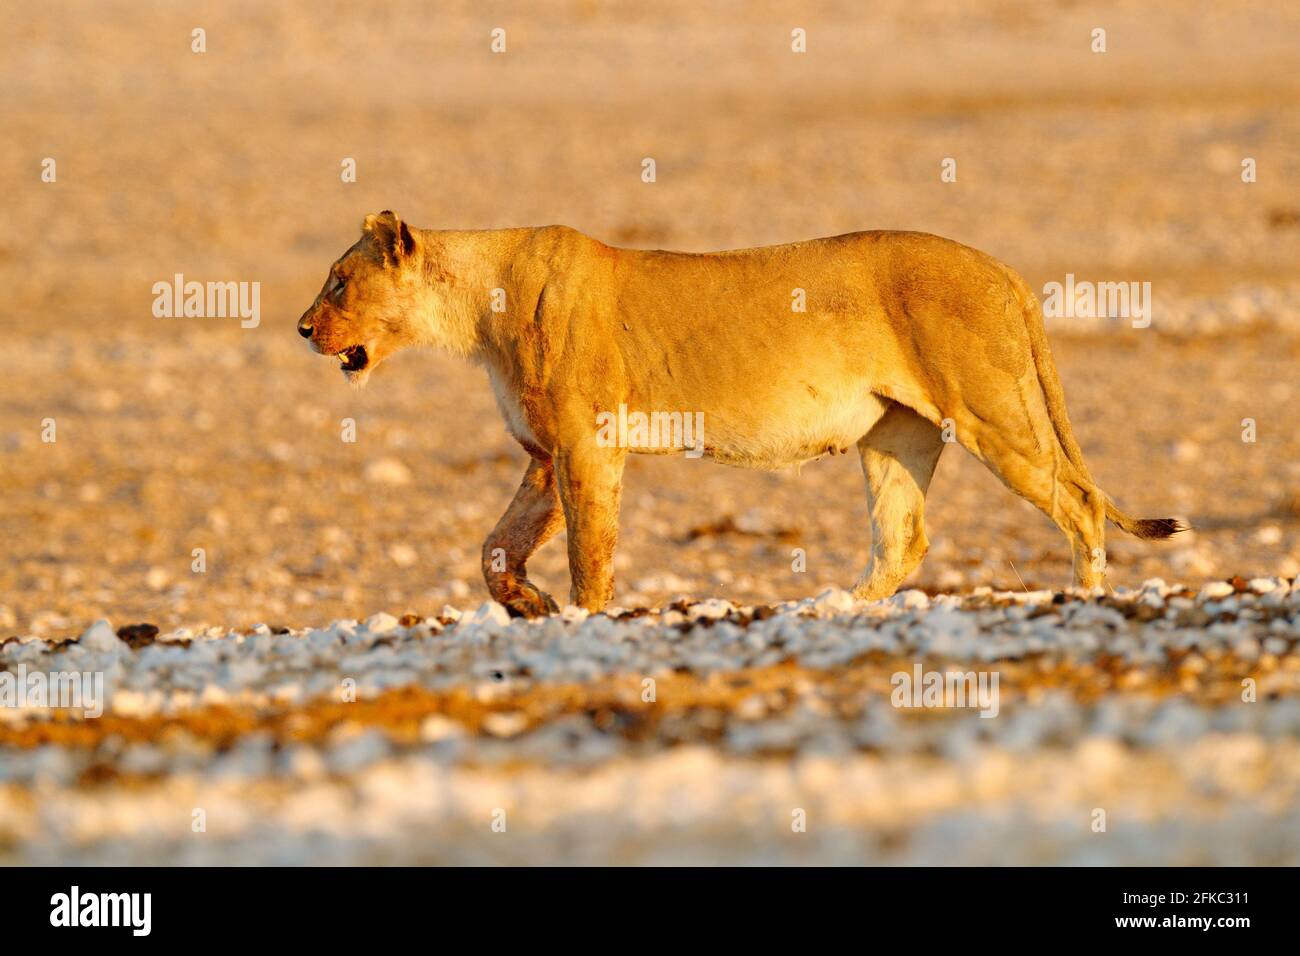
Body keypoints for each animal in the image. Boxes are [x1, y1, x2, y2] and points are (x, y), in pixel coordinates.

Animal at [297, 211, 1185, 617]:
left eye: (339, 281)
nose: (303, 328)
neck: (477, 314)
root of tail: (1007, 273)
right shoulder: (546, 455)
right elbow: (493, 548)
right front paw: (528, 605)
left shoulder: (589, 445)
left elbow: (592, 550)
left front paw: (580, 616)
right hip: (895, 434)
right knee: (904, 536)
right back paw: (834, 607)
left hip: (991, 411)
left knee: (1078, 503)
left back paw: (1088, 596)